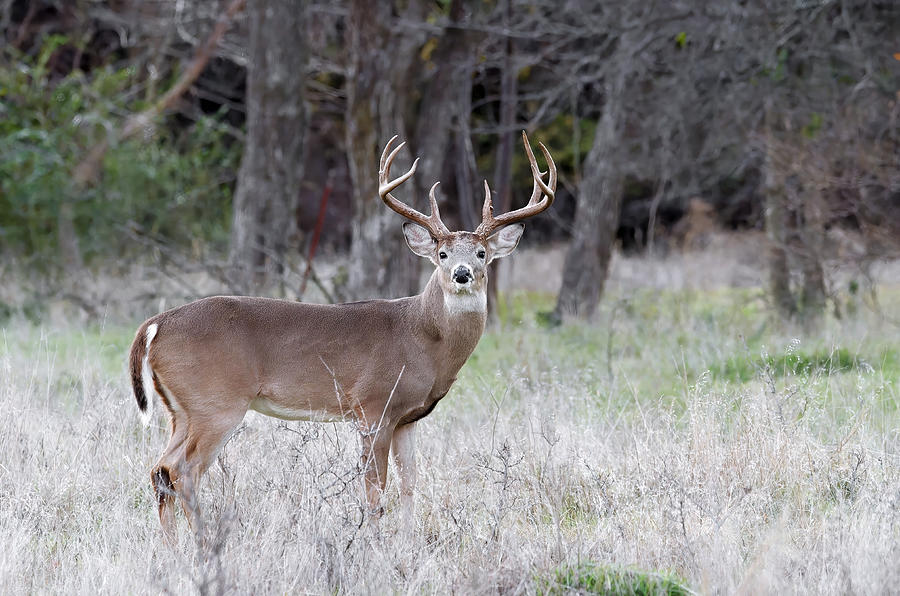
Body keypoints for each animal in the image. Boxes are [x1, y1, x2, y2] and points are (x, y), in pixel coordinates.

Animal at [127, 133, 556, 544]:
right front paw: (374, 544)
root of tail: (155, 324)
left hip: (182, 410)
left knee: (159, 470)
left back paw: (173, 549)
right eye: (443, 253)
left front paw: (408, 545)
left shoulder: (408, 418)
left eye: (482, 253)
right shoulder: (373, 405)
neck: (422, 338)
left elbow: (410, 485)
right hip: (216, 402)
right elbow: (375, 490)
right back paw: (204, 543)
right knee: (182, 470)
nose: (462, 274)